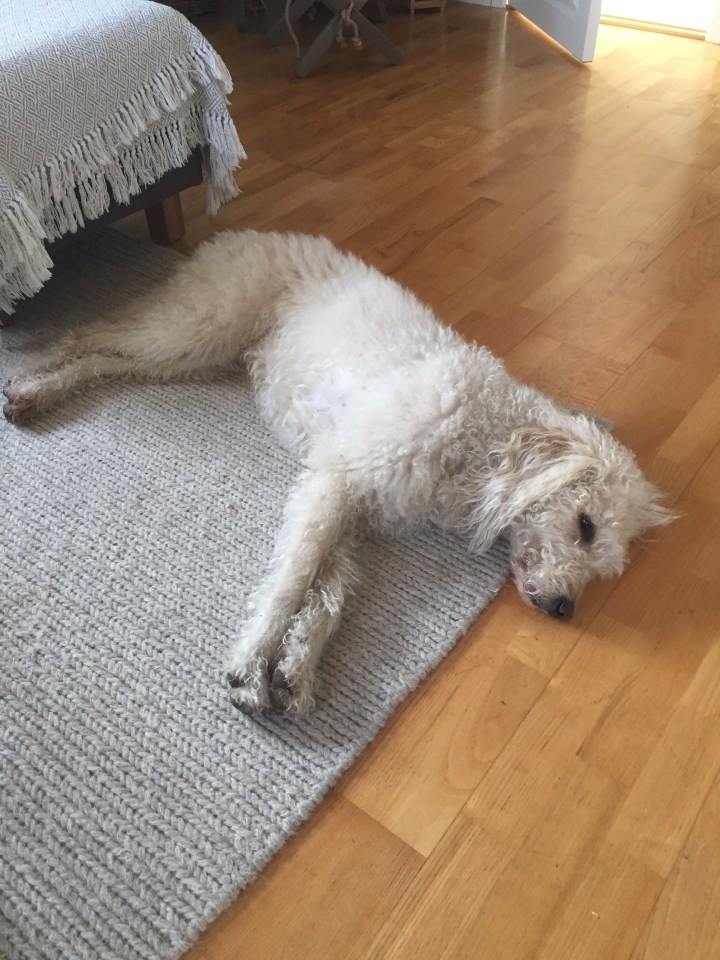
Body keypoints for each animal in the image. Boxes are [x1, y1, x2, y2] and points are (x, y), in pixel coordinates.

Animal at [3, 230, 675, 715]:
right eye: (585, 525)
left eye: (603, 566)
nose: (564, 608)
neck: (478, 437)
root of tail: (242, 234)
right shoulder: (336, 480)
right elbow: (292, 582)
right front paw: (252, 663)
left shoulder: (353, 512)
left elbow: (327, 597)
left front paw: (296, 670)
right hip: (195, 328)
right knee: (91, 332)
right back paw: (32, 378)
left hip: (195, 353)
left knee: (107, 357)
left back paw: (39, 391)